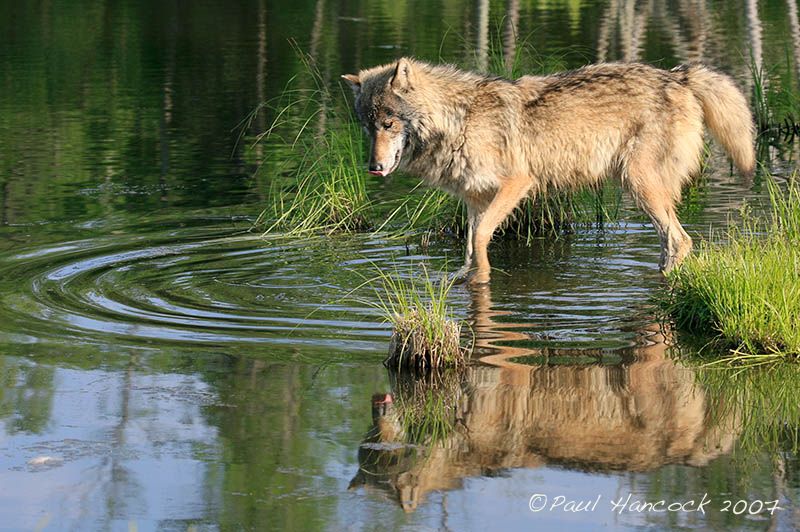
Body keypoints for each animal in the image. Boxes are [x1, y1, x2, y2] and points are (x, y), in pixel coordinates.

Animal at [340, 57, 752, 282]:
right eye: (368, 127)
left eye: (389, 124)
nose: (374, 167)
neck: (459, 119)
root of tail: (680, 76)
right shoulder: (474, 199)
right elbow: (470, 246)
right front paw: (467, 279)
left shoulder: (517, 184)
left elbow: (480, 238)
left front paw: (483, 278)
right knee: (671, 242)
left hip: (639, 185)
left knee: (681, 240)